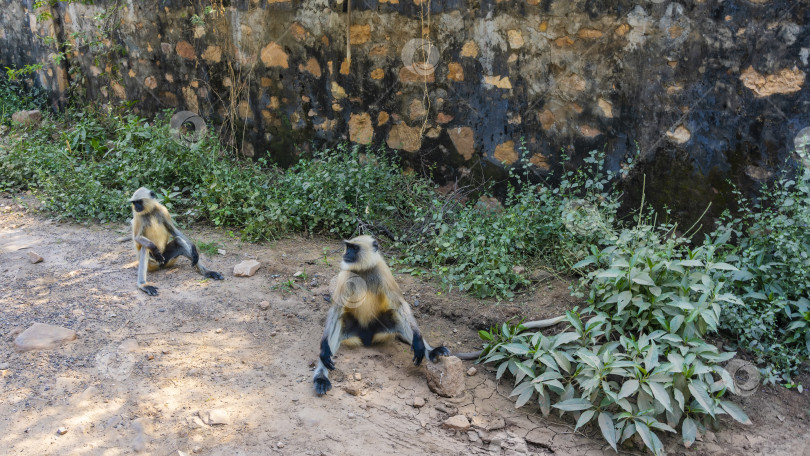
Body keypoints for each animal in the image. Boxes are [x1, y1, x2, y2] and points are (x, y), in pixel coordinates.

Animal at [312, 235, 448, 396]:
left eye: (354, 248)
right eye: (348, 247)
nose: (347, 254)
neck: (364, 270)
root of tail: (366, 339)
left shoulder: (382, 270)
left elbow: (400, 304)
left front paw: (419, 344)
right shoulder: (345, 274)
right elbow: (336, 309)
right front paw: (324, 349)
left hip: (382, 329)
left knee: (397, 316)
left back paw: (432, 352)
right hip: (352, 331)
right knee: (340, 320)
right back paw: (321, 377)